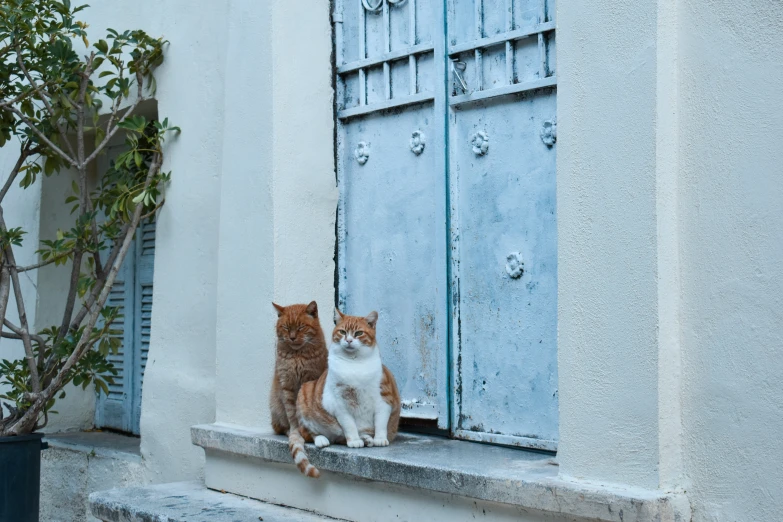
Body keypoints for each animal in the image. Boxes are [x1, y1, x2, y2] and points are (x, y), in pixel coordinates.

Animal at [272, 298, 328, 474]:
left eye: (301, 327)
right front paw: (297, 432)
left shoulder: (311, 382)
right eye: (285, 327)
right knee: (280, 427)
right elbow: (293, 415)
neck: (297, 356)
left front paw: (314, 435)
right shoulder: (287, 386)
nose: (292, 337)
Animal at [290, 308, 402, 476]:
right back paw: (323, 440)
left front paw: (379, 439)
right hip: (304, 394)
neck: (354, 363)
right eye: (342, 332)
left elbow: (381, 422)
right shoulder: (339, 405)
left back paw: (367, 439)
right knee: (309, 432)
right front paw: (354, 440)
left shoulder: (384, 400)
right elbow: (349, 425)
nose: (348, 340)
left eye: (358, 333)